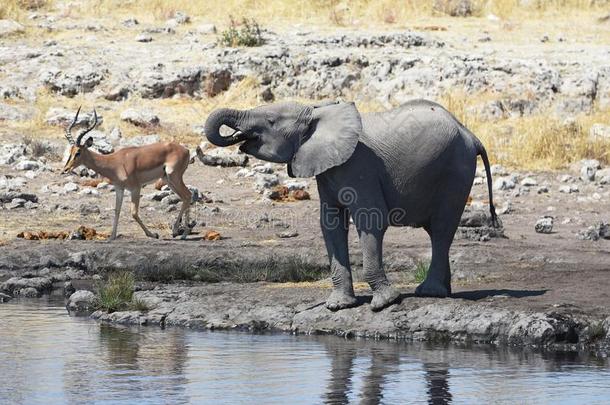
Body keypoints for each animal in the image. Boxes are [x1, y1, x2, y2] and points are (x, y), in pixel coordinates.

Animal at [202, 99, 496, 310]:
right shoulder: (327, 169)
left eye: (270, 121)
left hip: (455, 170)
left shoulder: (359, 165)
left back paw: (430, 293)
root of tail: (471, 135)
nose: (237, 137)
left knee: (442, 228)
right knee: (438, 231)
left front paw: (384, 304)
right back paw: (442, 292)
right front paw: (338, 306)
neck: (316, 112)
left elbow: (371, 220)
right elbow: (331, 225)